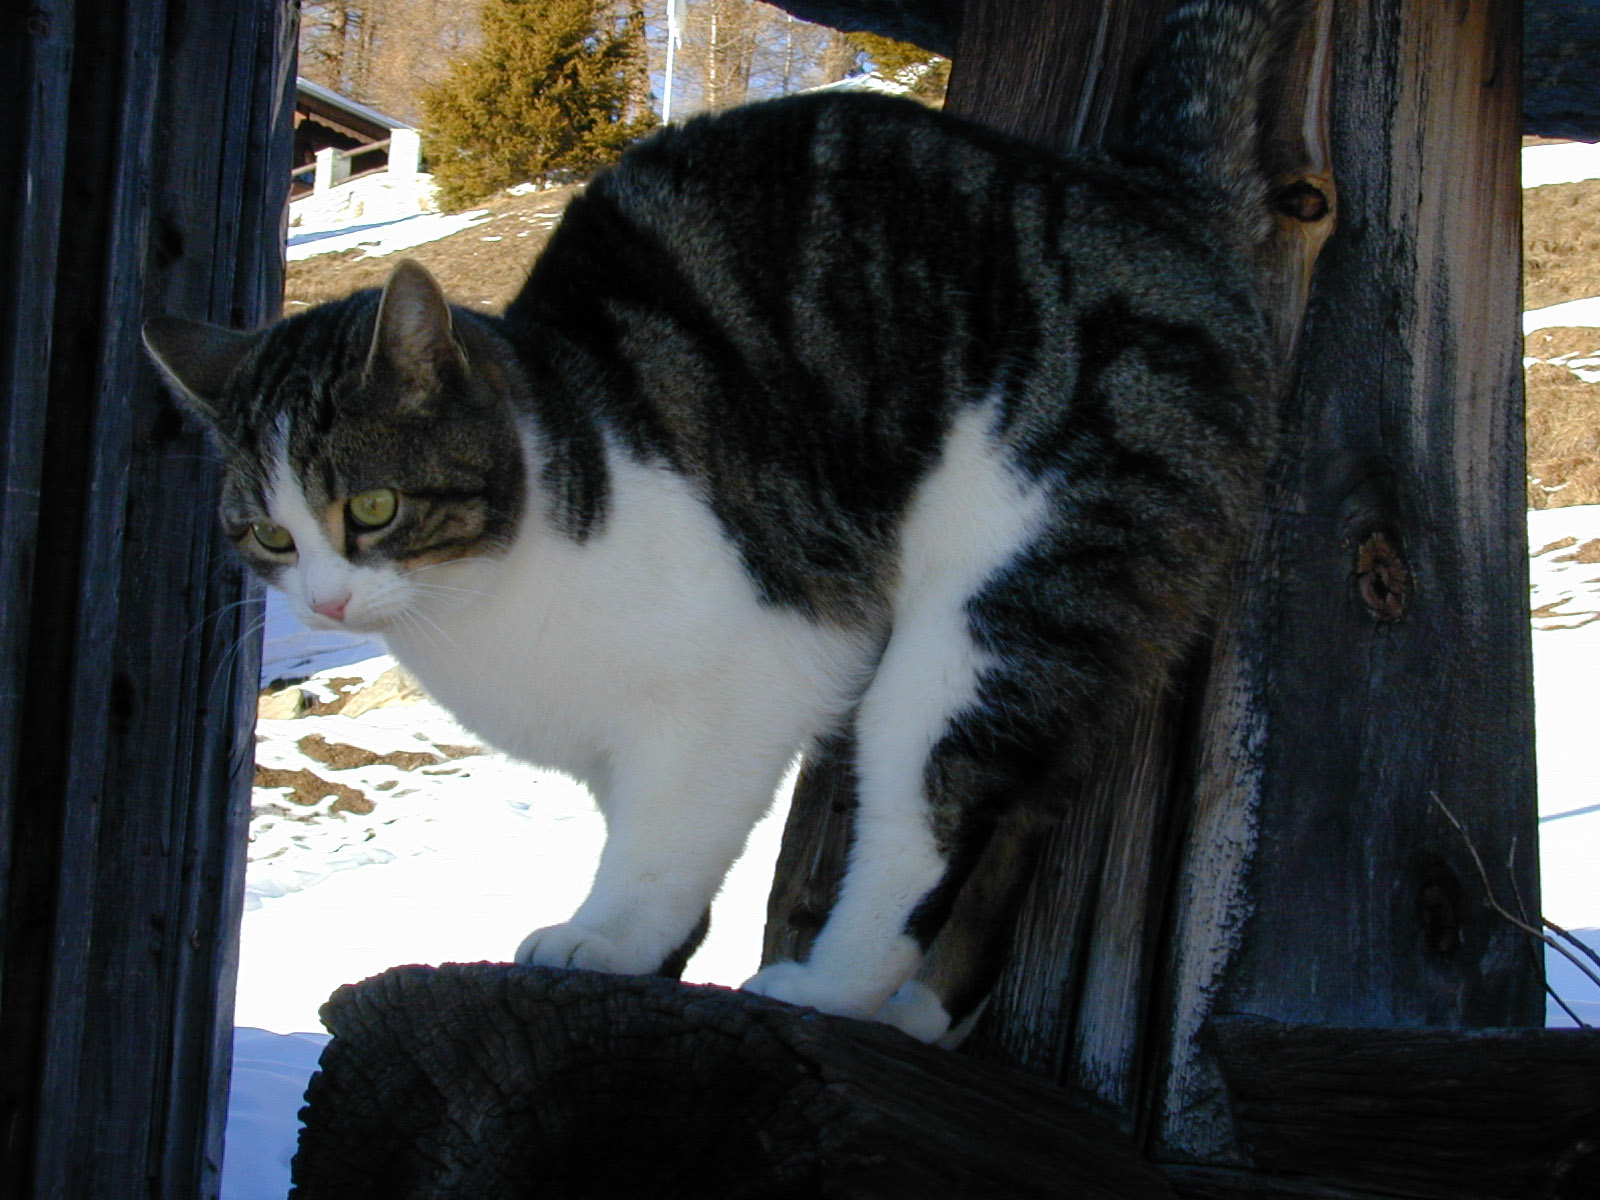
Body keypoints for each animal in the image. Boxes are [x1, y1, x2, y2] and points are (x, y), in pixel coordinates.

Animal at [145, 0, 1285, 1042]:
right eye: (269, 536)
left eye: (373, 508)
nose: (326, 603)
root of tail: (1143, 197)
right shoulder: (619, 749)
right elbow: (658, 838)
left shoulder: (749, 676)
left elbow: (664, 844)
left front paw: (605, 940)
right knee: (1026, 813)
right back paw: (921, 1013)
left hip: (997, 603)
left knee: (934, 814)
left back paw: (829, 989)